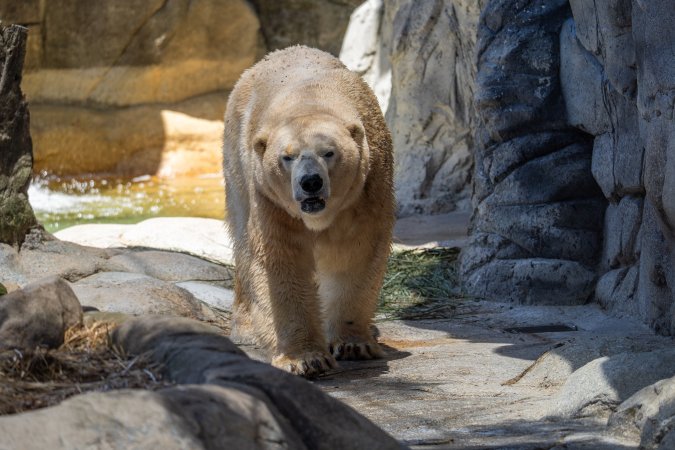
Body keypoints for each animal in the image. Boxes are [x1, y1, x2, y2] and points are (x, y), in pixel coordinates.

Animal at [222, 45, 395, 377]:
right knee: (241, 238)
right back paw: (247, 327)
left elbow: (354, 254)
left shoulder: (366, 190)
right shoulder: (271, 199)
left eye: (329, 152)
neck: (309, 99)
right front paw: (305, 359)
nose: (311, 182)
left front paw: (353, 344)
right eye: (287, 157)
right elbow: (281, 261)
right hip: (236, 162)